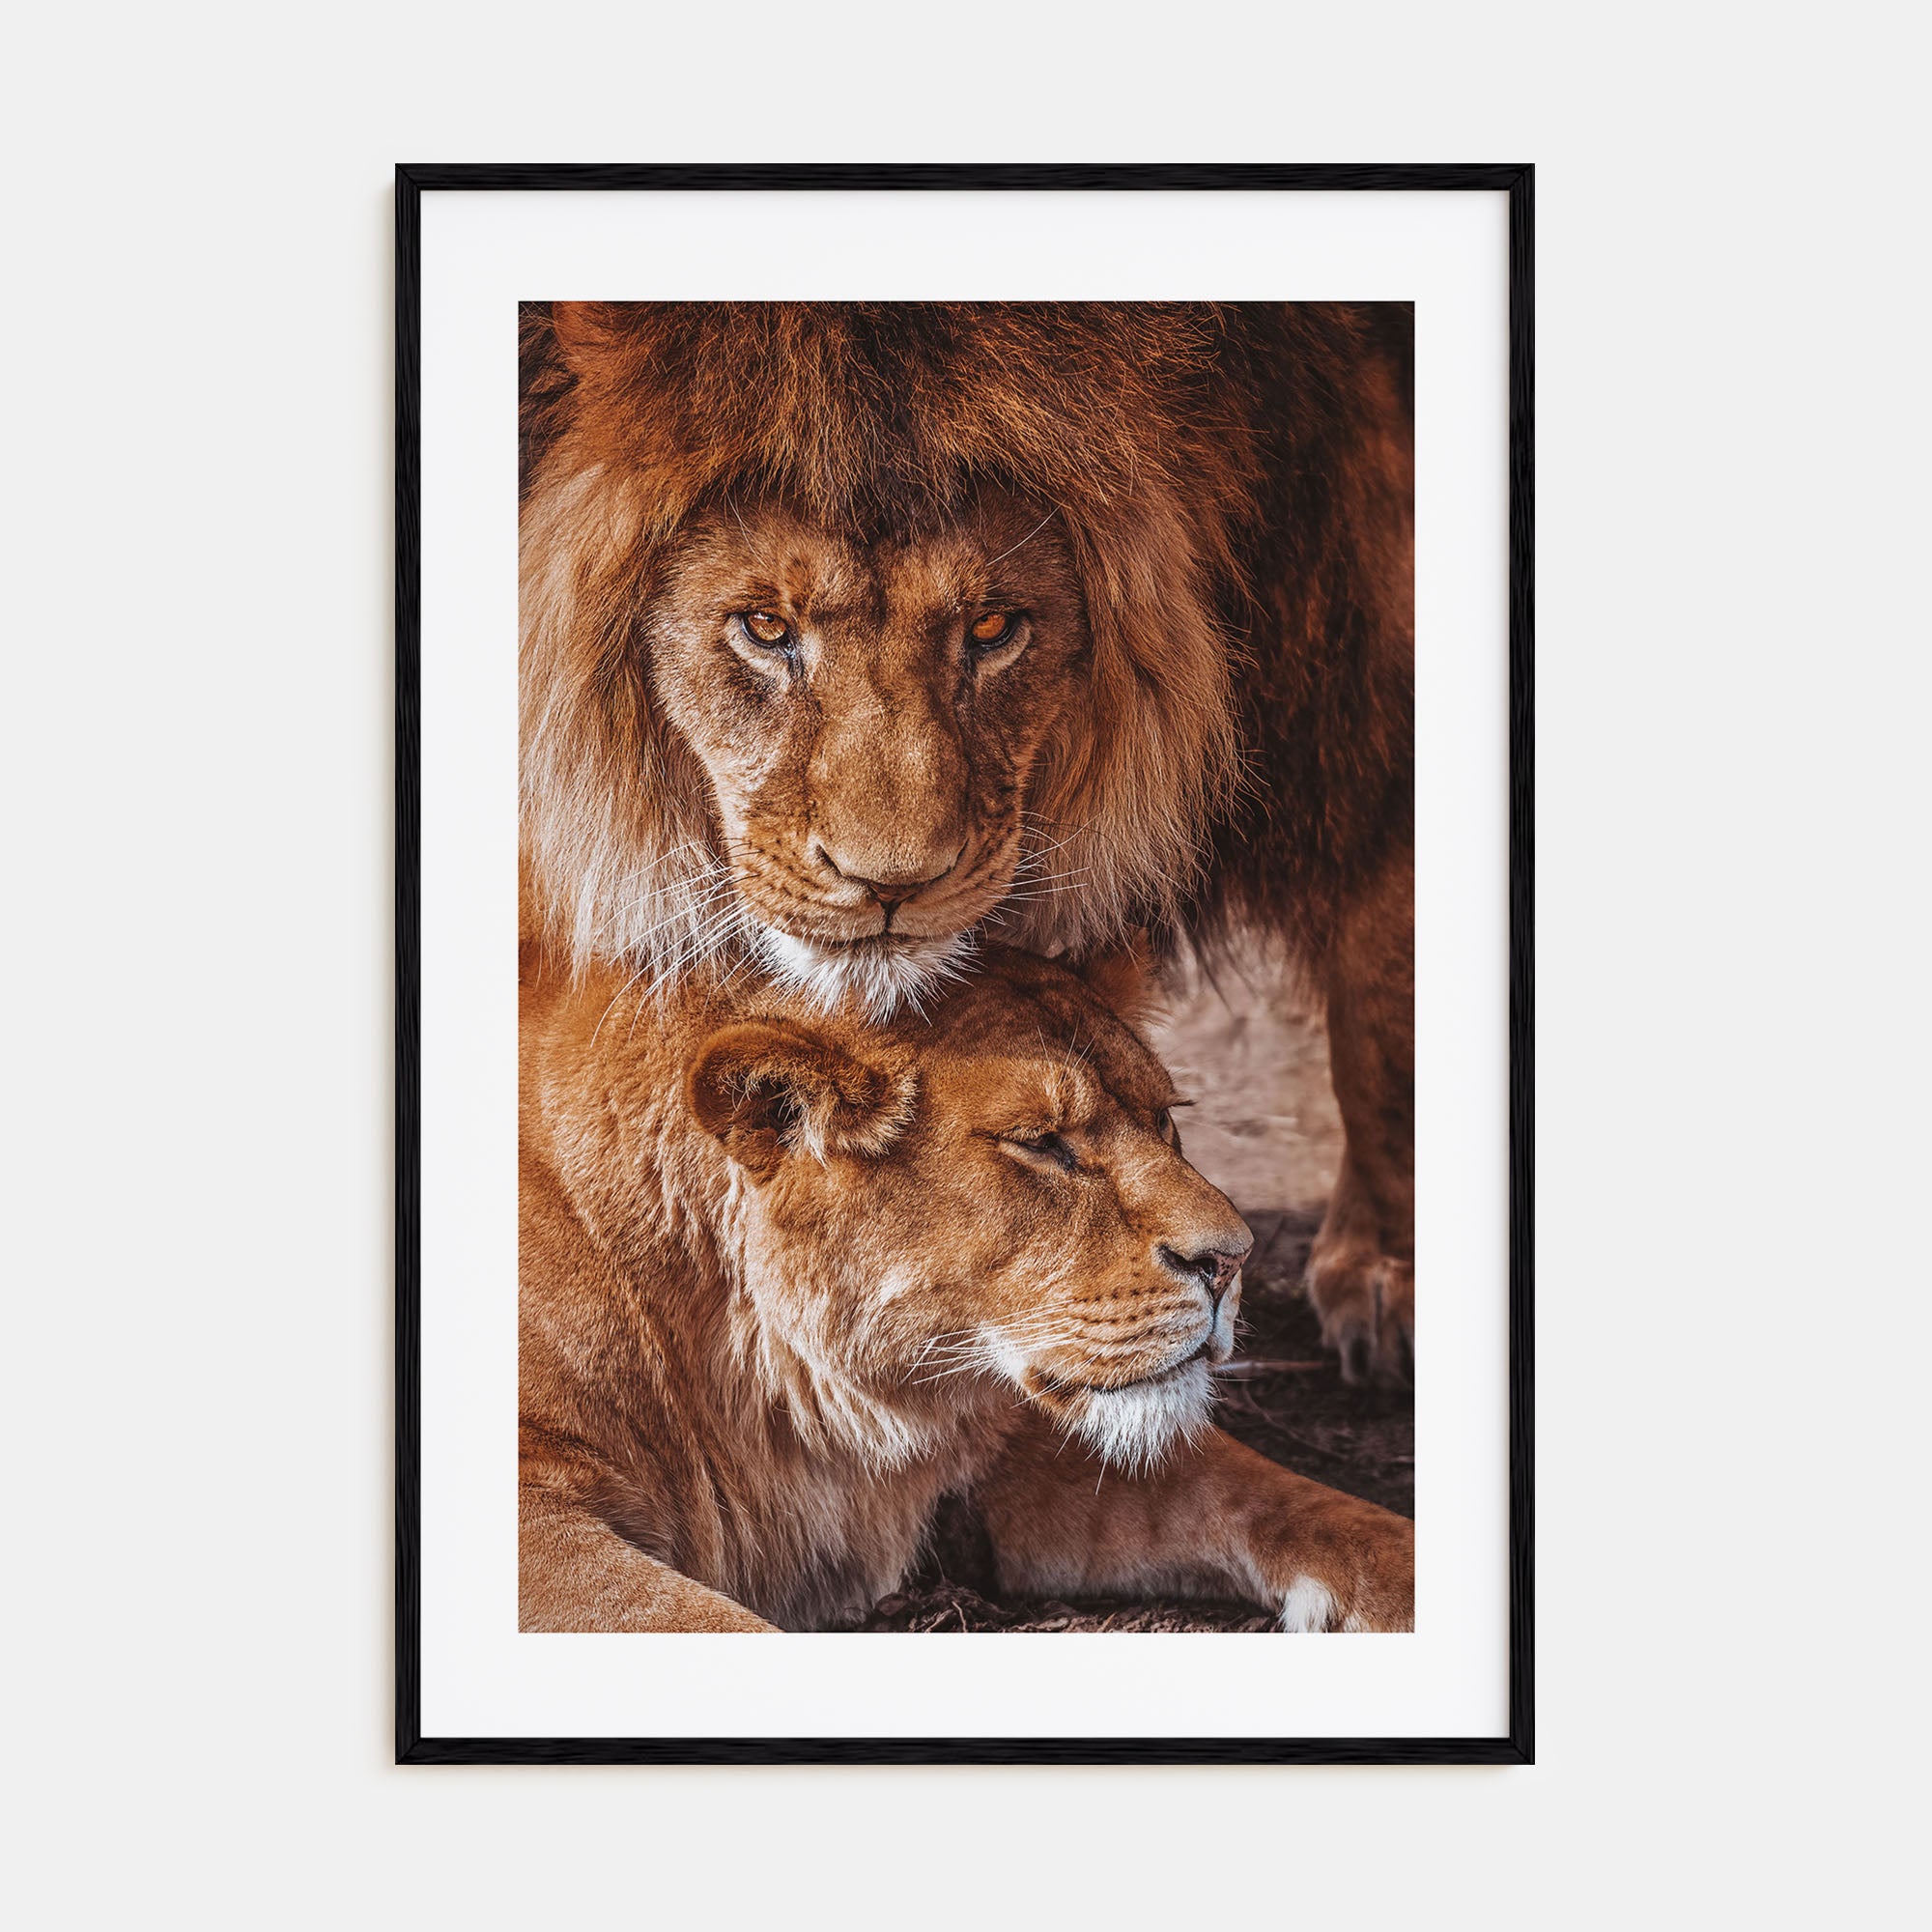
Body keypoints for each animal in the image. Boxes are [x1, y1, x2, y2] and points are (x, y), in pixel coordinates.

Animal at [519, 943, 1415, 1633]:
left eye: (1165, 1119)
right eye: (1042, 1142)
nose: (1233, 1260)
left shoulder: (1013, 1441)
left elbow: (1306, 1506)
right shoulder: (537, 1518)